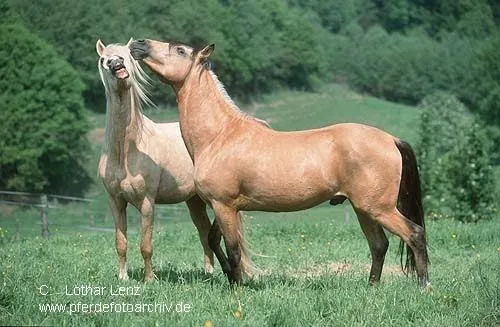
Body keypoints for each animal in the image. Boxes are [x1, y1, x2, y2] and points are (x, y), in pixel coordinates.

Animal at [95, 40, 215, 282]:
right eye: (103, 60)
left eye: (126, 56)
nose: (116, 64)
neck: (125, 153)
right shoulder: (115, 202)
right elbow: (120, 243)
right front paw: (123, 277)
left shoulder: (147, 203)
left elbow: (146, 245)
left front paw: (149, 279)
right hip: (194, 200)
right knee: (204, 231)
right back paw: (209, 272)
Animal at [129, 39, 430, 290]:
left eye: (180, 50)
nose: (139, 44)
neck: (220, 136)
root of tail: (391, 139)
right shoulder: (223, 206)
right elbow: (214, 241)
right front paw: (231, 277)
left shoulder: (224, 205)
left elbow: (234, 249)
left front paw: (238, 288)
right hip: (363, 209)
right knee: (379, 245)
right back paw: (372, 287)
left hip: (379, 208)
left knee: (414, 234)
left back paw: (424, 285)